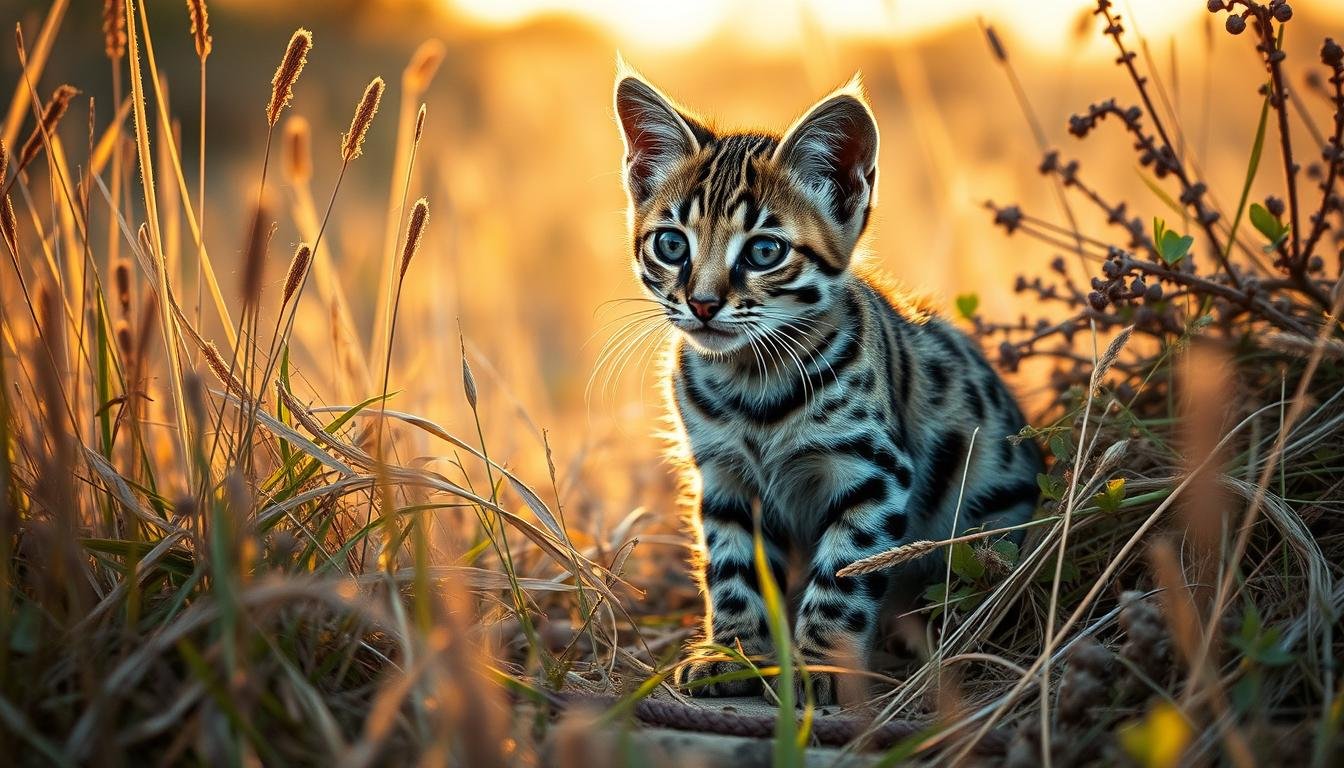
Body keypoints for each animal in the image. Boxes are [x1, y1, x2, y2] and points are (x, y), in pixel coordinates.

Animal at [615, 69, 1042, 704]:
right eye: (671, 244)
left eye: (764, 252)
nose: (703, 303)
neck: (752, 384)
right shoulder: (722, 475)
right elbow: (733, 570)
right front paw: (733, 655)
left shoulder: (874, 472)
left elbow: (841, 581)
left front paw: (821, 667)